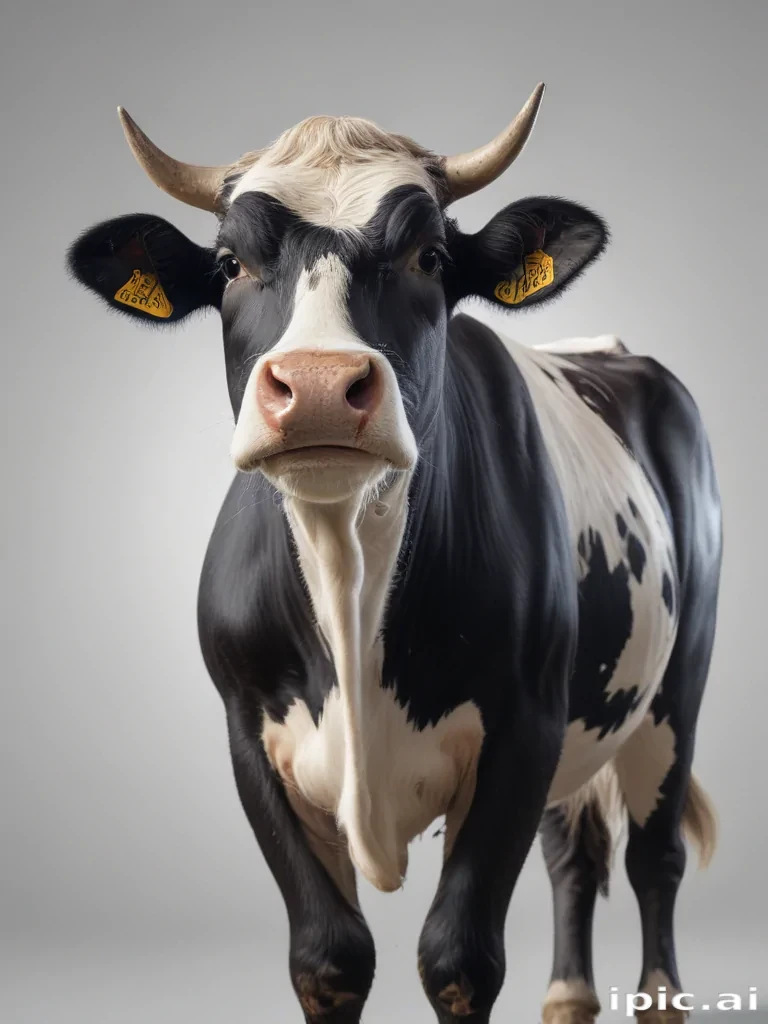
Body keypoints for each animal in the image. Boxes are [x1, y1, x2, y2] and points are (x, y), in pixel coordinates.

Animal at [67, 83, 722, 1024]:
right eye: (229, 264)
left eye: (431, 256)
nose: (316, 386)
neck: (351, 591)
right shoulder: (247, 733)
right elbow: (330, 956)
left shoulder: (523, 724)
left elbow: (460, 956)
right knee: (574, 850)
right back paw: (566, 997)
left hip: (678, 686)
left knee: (652, 855)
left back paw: (658, 994)